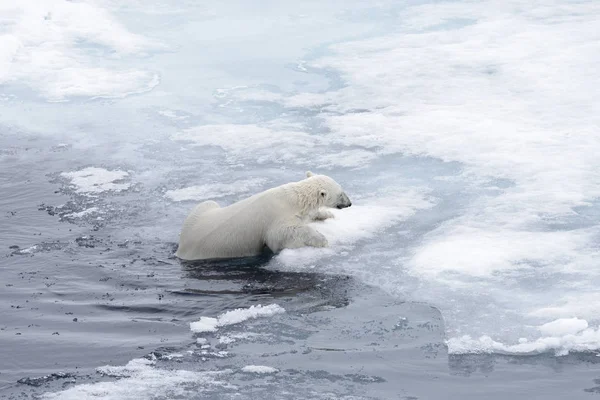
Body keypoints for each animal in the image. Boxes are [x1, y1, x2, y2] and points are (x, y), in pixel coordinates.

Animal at [173, 171, 352, 260]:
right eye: (341, 193)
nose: (349, 203)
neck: (293, 198)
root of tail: (181, 249)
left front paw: (327, 214)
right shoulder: (276, 219)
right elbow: (281, 235)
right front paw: (322, 240)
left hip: (199, 214)